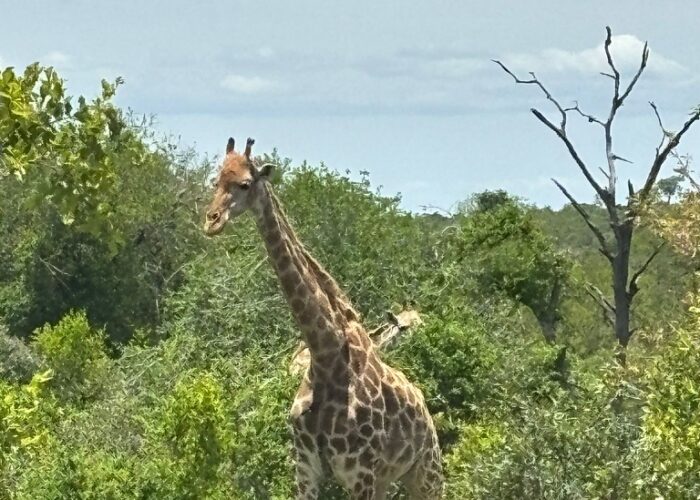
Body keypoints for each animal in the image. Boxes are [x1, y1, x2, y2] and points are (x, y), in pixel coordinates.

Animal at [203, 137, 443, 499]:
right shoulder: (306, 467)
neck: (326, 356)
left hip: (426, 473)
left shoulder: (358, 472)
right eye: (216, 180)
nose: (211, 221)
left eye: (244, 184)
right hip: (387, 478)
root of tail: (428, 413)